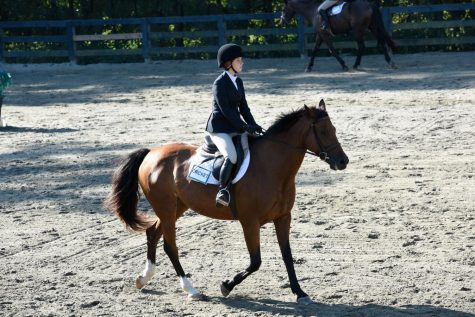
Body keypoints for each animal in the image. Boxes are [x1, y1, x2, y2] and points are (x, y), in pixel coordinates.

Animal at [106, 100, 348, 304]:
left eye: (334, 129)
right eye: (323, 131)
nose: (343, 161)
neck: (273, 168)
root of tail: (151, 153)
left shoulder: (283, 217)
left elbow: (287, 256)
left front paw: (300, 293)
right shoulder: (249, 221)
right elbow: (255, 261)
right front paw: (226, 285)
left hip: (177, 206)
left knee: (153, 233)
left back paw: (143, 278)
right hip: (165, 207)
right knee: (169, 245)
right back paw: (191, 290)